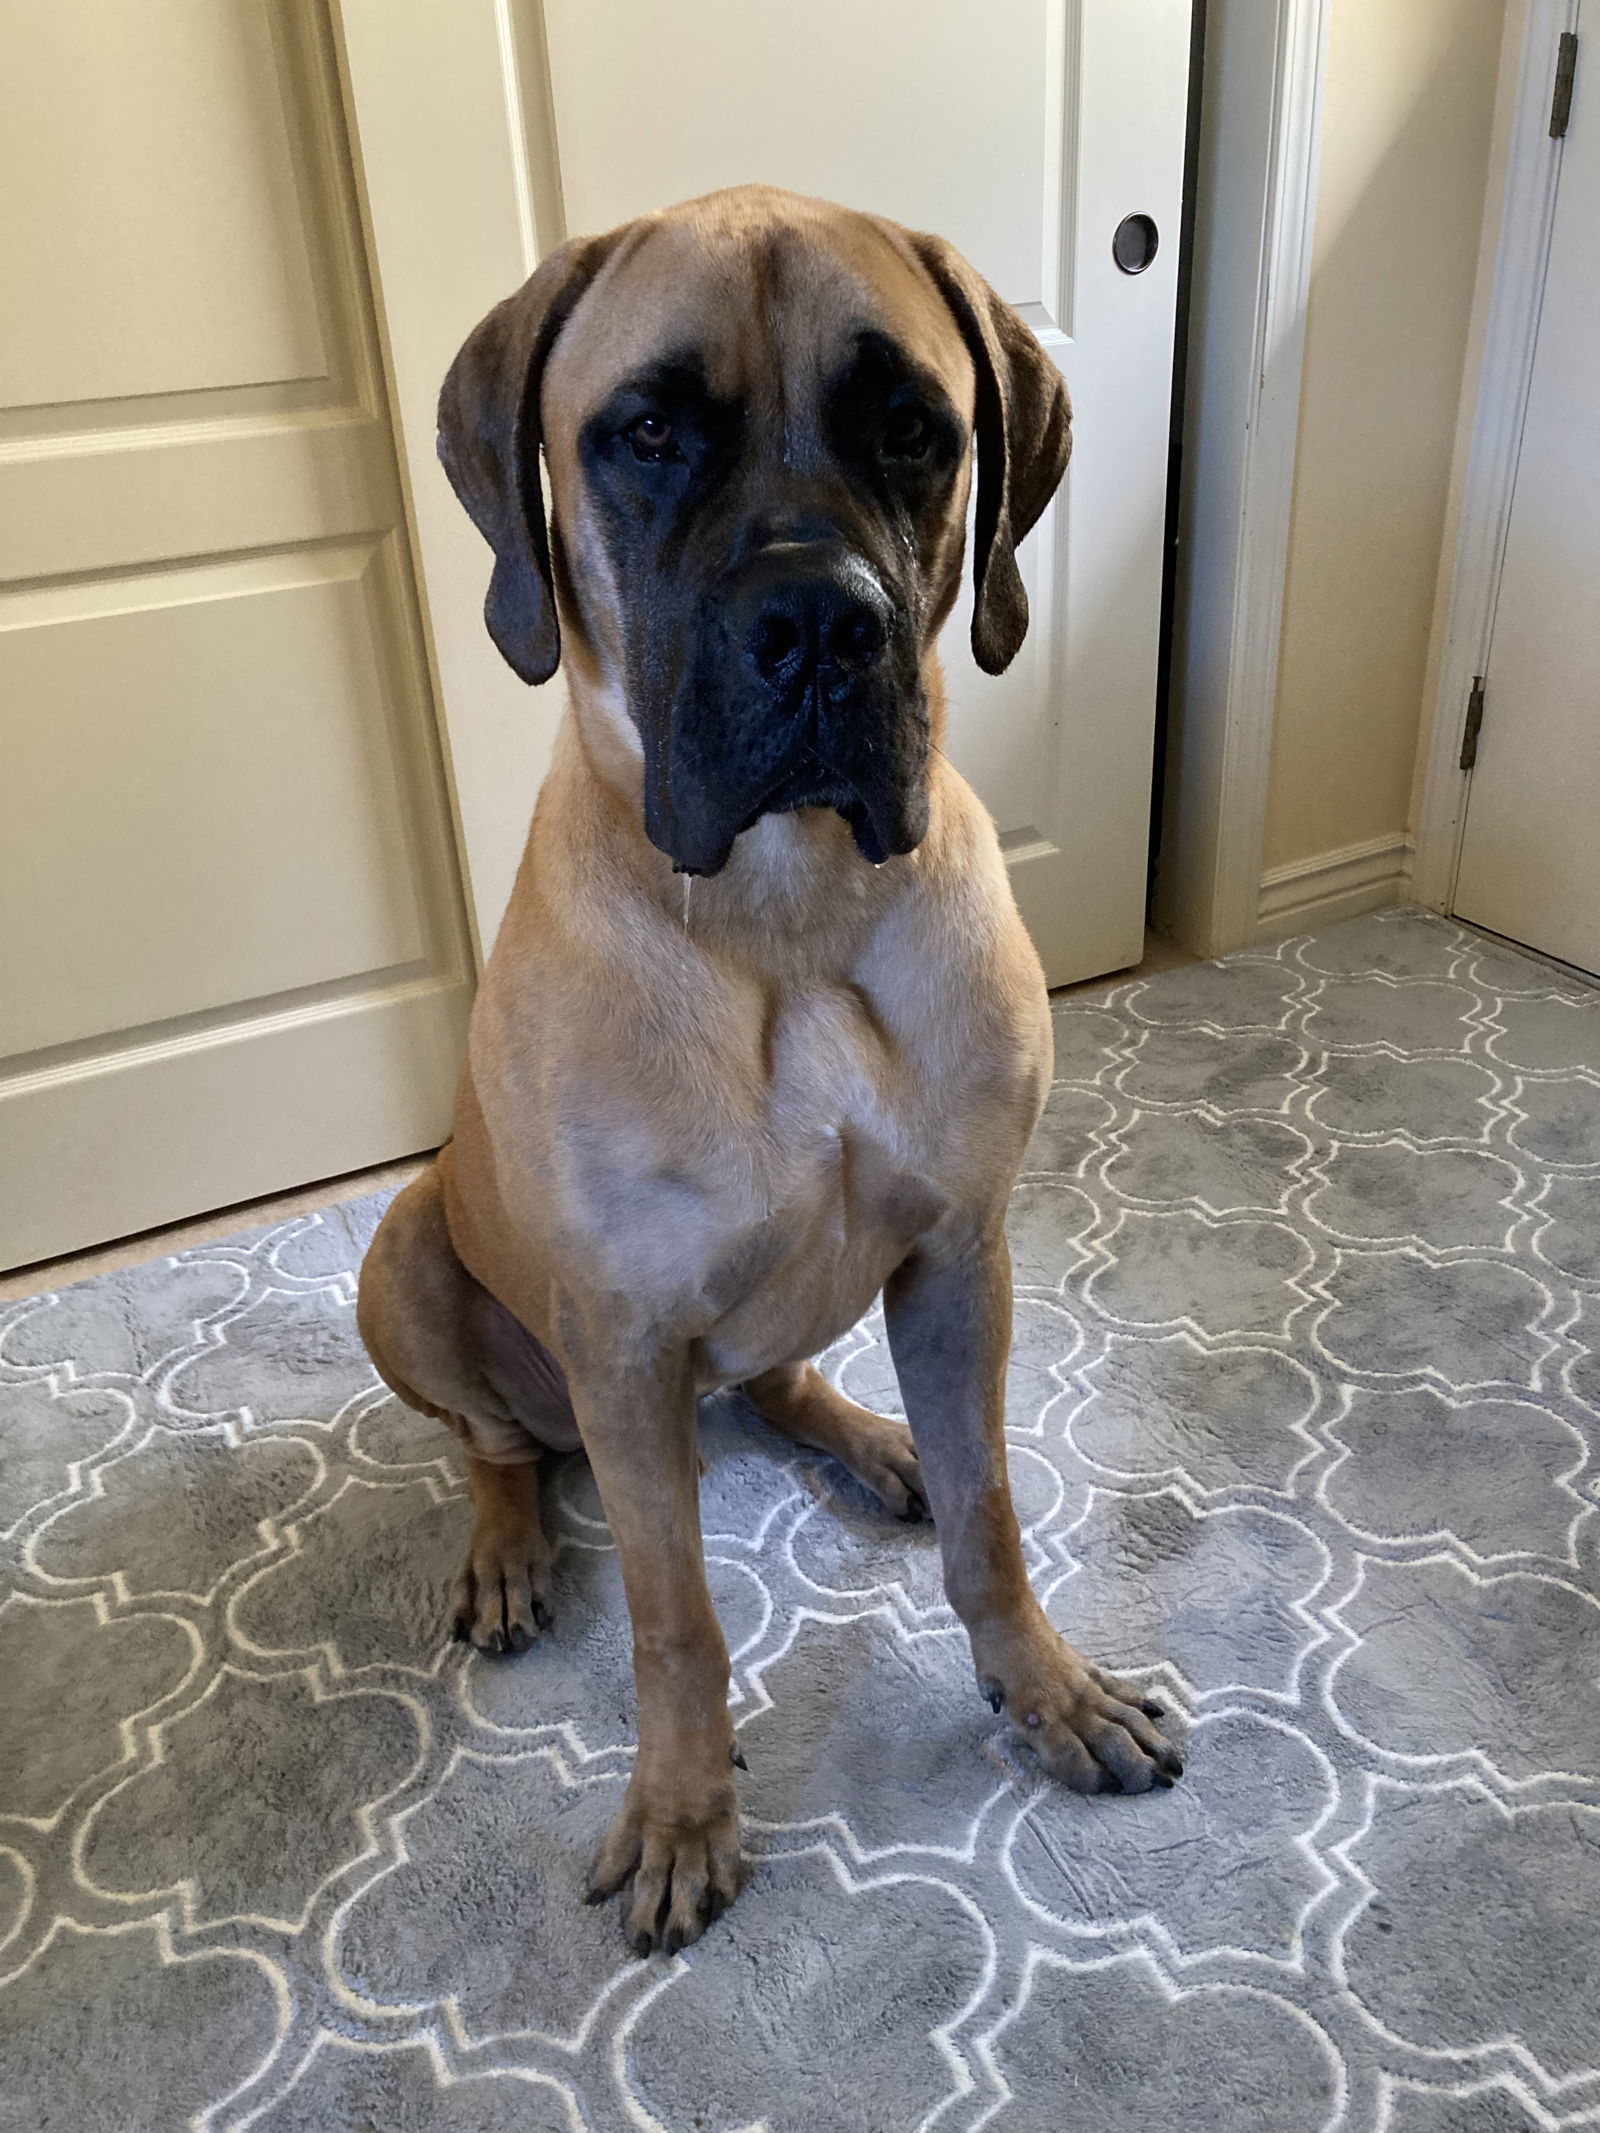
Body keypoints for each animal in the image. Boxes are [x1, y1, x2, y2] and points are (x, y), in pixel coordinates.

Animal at [366, 191, 1194, 1953]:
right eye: (647, 433)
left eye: (916, 430)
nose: (820, 623)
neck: (791, 907)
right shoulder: (618, 1340)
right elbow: (674, 1615)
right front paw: (686, 1809)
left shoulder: (961, 1255)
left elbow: (994, 1518)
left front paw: (1047, 1691)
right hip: (407, 1257)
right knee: (496, 1447)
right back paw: (508, 1549)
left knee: (777, 1378)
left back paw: (875, 1442)